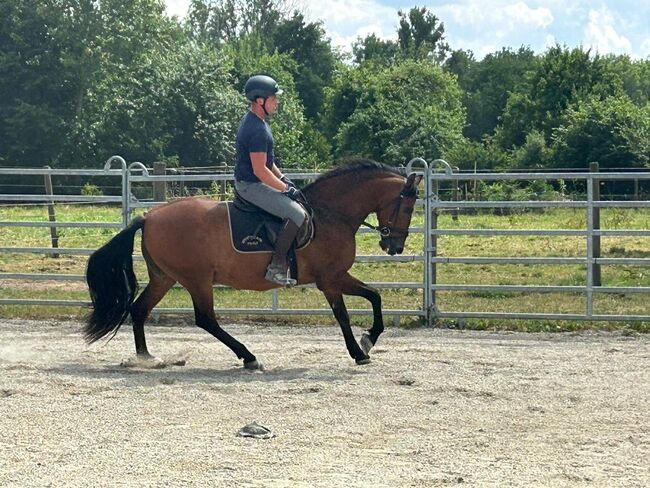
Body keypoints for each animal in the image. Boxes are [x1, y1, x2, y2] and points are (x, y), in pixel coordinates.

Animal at [83, 160, 420, 370]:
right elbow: (344, 315)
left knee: (140, 310)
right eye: (407, 206)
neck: (330, 215)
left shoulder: (338, 276)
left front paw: (369, 339)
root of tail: (148, 217)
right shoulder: (329, 279)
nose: (394, 247)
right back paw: (248, 356)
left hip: (164, 278)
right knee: (205, 319)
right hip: (197, 279)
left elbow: (374, 295)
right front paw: (359, 351)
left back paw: (145, 357)